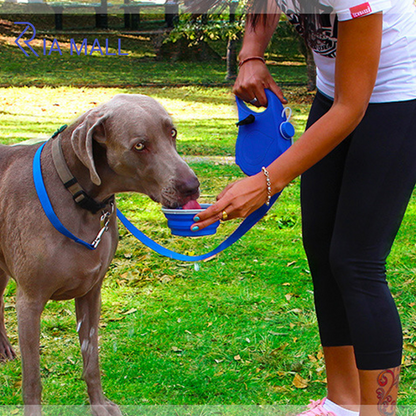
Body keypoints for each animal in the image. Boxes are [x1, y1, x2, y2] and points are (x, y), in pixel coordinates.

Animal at [0, 94, 200, 416]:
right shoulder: (29, 300)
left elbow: (91, 359)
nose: (192, 186)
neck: (79, 196)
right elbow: (32, 380)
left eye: (172, 133)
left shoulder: (91, 291)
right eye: (140, 146)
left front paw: (100, 405)